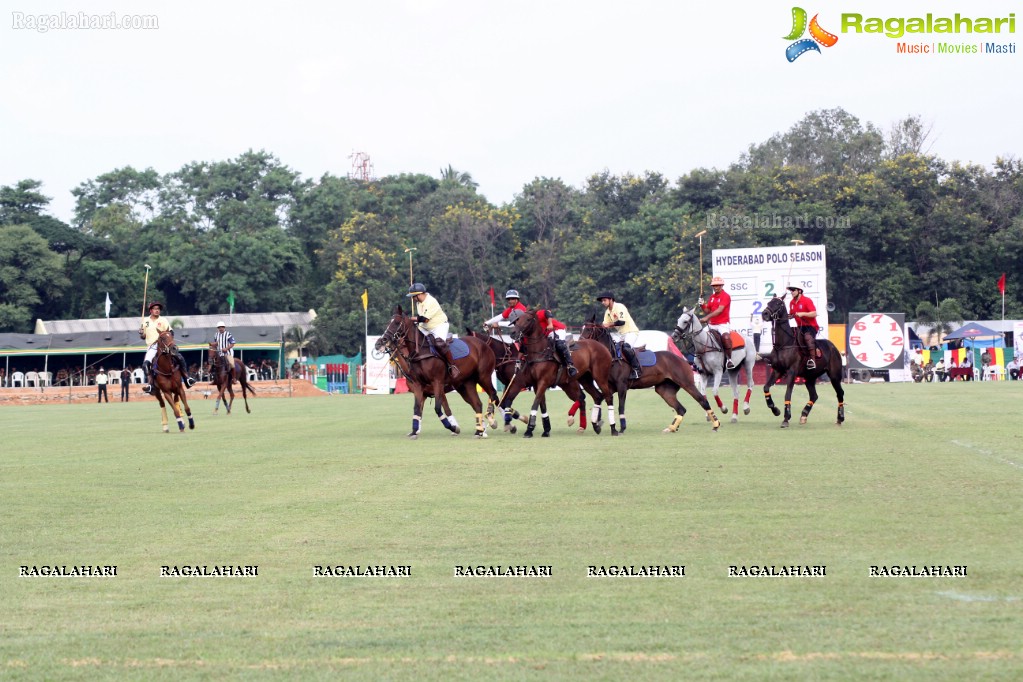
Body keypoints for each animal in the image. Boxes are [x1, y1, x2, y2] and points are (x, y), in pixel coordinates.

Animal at [378, 306, 501, 439]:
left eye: (396, 322)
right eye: (388, 322)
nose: (380, 341)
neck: (420, 352)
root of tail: (485, 345)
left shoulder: (437, 383)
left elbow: (440, 408)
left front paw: (453, 428)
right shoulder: (419, 386)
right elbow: (417, 409)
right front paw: (414, 431)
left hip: (483, 376)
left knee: (493, 394)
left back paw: (491, 422)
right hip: (467, 383)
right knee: (477, 404)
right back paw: (479, 431)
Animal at [497, 308, 613, 437]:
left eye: (527, 320)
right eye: (517, 321)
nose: (513, 333)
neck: (539, 351)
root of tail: (603, 346)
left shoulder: (542, 381)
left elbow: (535, 403)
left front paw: (529, 429)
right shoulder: (535, 384)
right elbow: (541, 405)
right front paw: (546, 429)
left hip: (600, 377)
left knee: (607, 396)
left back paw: (612, 429)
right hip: (583, 380)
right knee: (595, 396)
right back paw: (595, 425)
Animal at [581, 319, 724, 435]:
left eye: (588, 329)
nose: (580, 342)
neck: (612, 357)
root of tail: (684, 360)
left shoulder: (622, 386)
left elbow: (620, 406)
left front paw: (621, 428)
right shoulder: (610, 387)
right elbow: (601, 399)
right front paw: (597, 423)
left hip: (686, 383)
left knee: (702, 400)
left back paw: (716, 425)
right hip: (664, 390)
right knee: (681, 409)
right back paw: (671, 428)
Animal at [761, 296, 847, 429]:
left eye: (779, 303)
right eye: (769, 302)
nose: (764, 314)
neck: (783, 344)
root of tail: (833, 346)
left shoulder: (792, 372)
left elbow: (787, 394)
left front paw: (786, 418)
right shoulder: (777, 371)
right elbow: (766, 387)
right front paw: (775, 410)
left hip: (834, 375)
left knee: (840, 393)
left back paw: (840, 418)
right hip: (810, 377)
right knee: (814, 395)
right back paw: (804, 415)